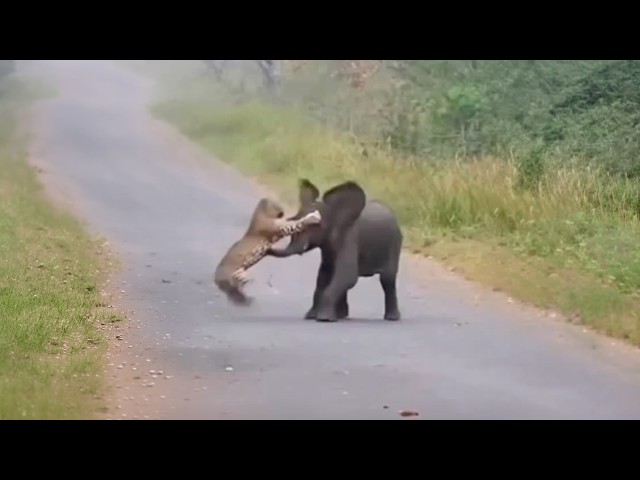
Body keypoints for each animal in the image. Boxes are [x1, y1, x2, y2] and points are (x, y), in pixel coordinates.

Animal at [266, 178, 403, 322]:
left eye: (314, 226)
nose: (266, 247)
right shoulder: (328, 247)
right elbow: (323, 275)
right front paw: (311, 316)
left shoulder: (350, 236)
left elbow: (347, 275)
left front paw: (324, 319)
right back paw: (342, 316)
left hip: (395, 242)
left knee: (387, 279)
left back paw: (392, 318)